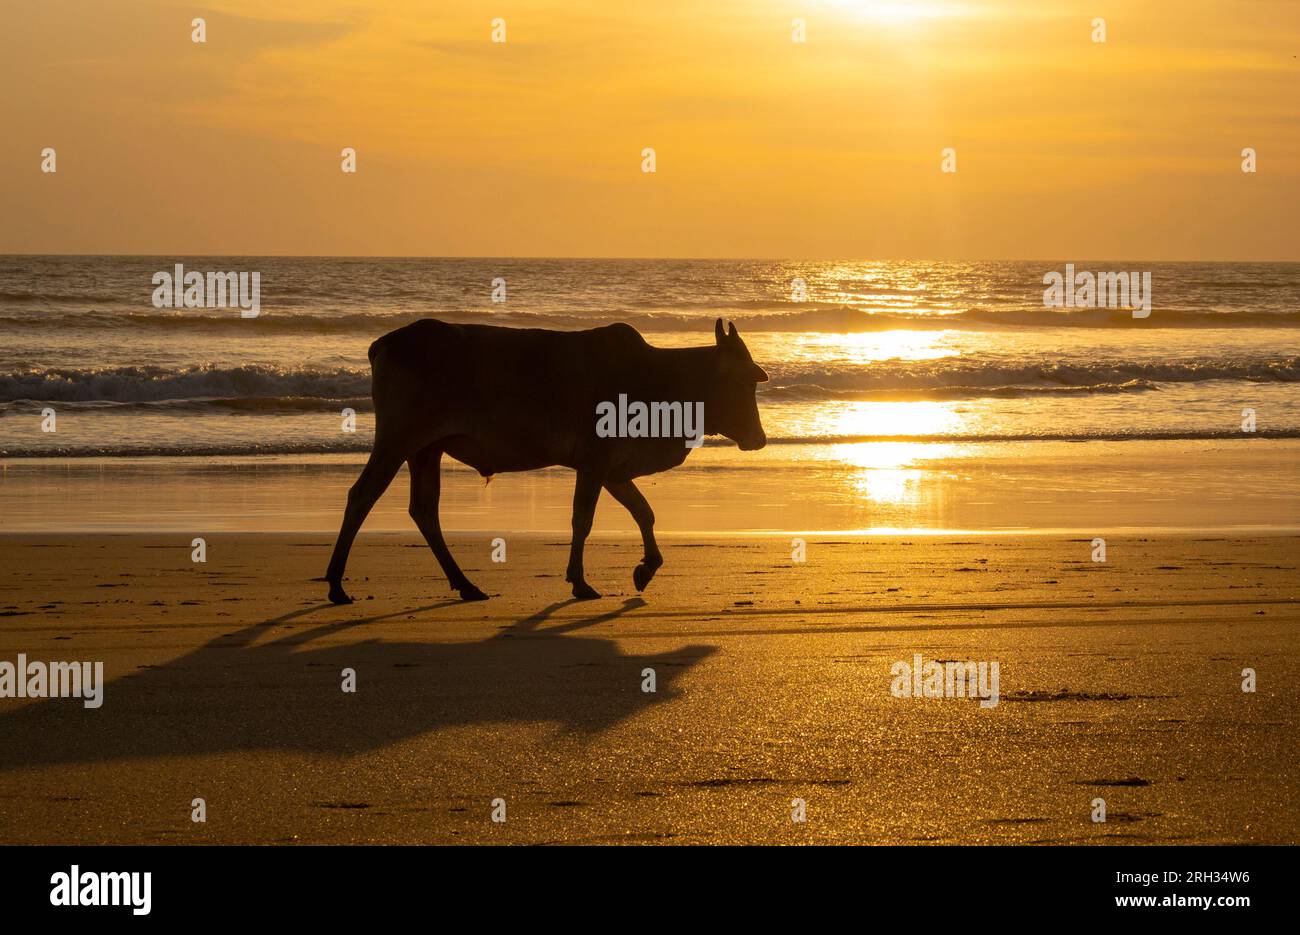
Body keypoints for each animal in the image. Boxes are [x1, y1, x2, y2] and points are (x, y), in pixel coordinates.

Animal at [324, 318, 768, 604]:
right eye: (745, 382)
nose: (759, 439)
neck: (663, 382)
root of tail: (384, 344)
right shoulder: (594, 461)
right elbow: (583, 520)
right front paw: (580, 582)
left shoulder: (613, 469)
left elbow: (644, 513)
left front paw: (646, 568)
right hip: (398, 441)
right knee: (361, 496)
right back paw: (336, 585)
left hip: (426, 450)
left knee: (423, 510)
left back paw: (465, 585)